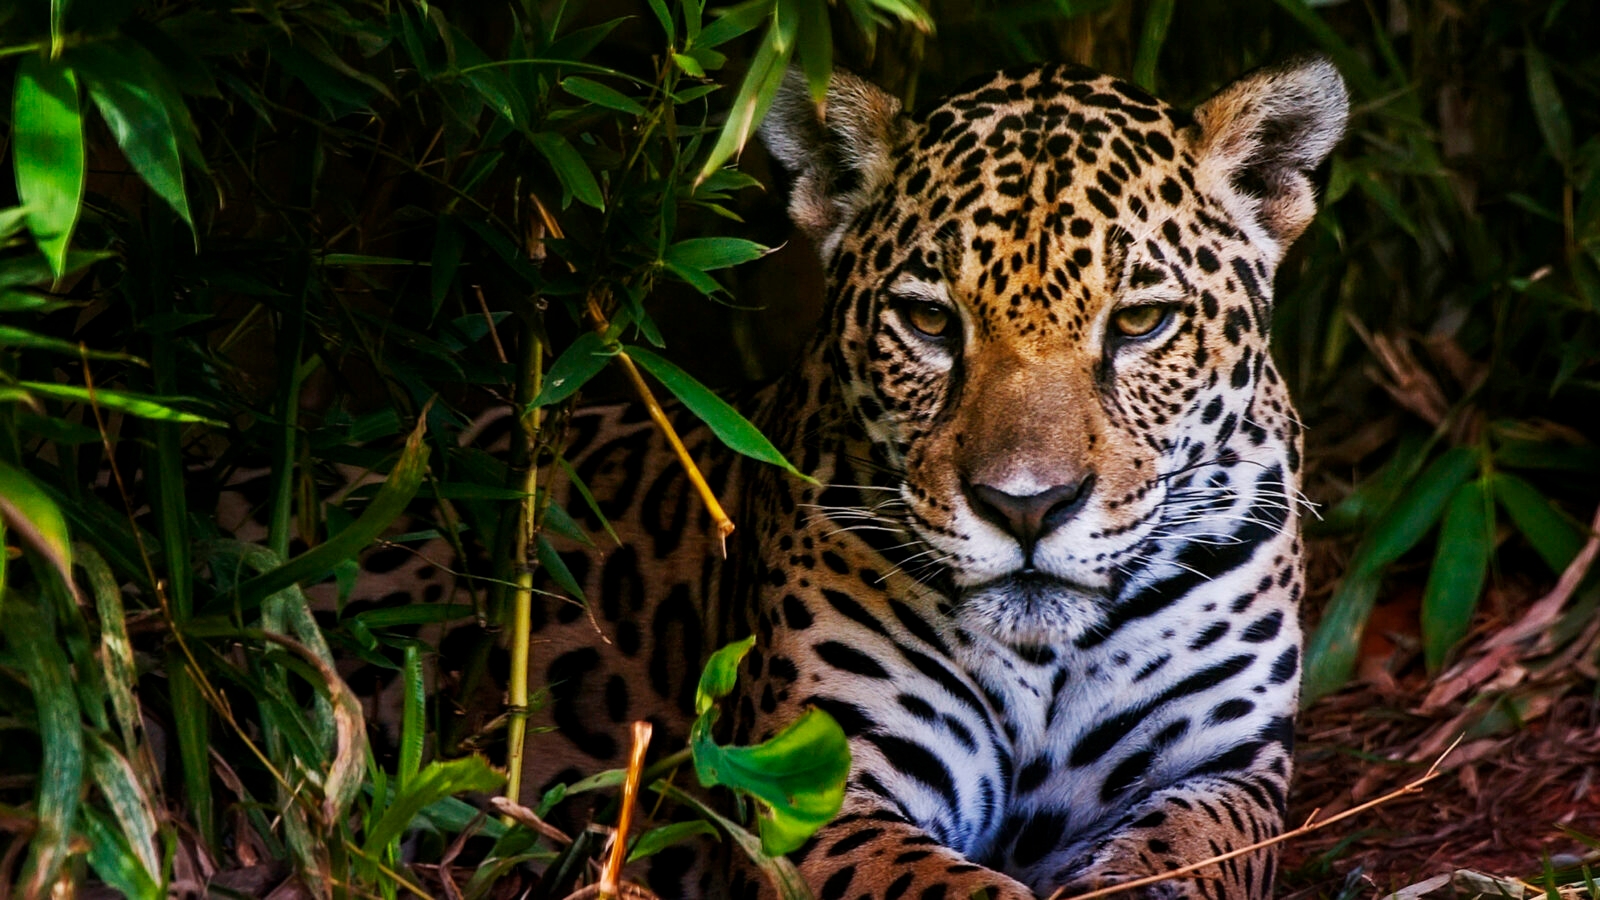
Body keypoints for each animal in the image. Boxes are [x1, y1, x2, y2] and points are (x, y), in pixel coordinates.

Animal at [518, 57, 1348, 900]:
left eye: (1141, 323)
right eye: (930, 323)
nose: (1026, 506)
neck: (1045, 663)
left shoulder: (1224, 768)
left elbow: (1174, 859)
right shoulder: (811, 786)